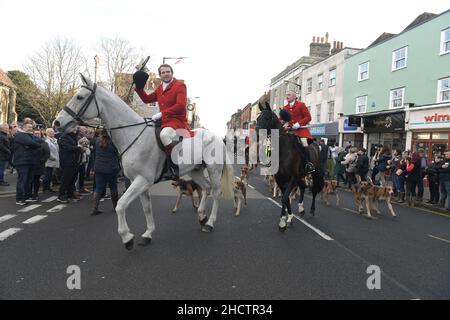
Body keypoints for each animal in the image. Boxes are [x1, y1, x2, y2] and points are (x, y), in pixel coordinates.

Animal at [256, 102, 324, 230]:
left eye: (267, 118)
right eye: (257, 118)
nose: (257, 133)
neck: (283, 149)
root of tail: (316, 144)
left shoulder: (292, 178)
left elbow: (284, 198)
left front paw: (283, 222)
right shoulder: (280, 178)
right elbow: (286, 198)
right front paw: (287, 218)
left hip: (315, 173)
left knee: (314, 190)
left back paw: (312, 210)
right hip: (300, 175)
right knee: (303, 187)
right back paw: (301, 208)